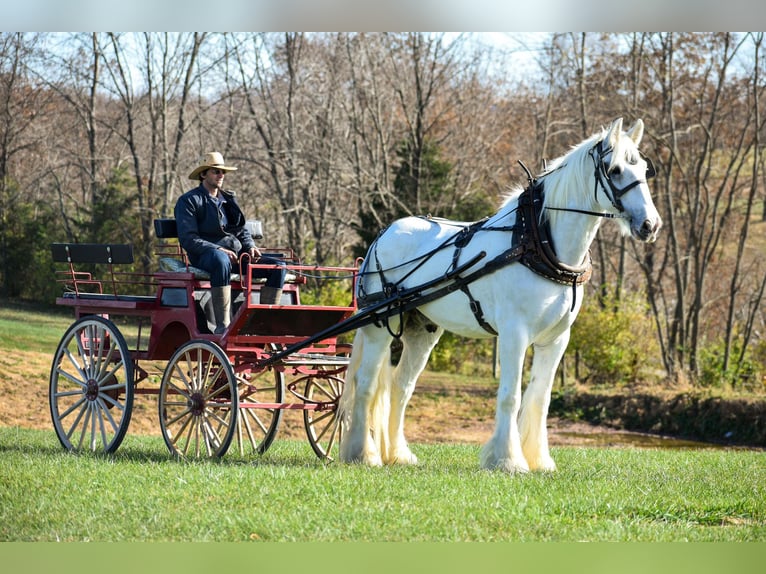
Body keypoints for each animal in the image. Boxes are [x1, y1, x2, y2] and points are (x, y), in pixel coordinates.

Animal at [340, 116, 664, 472]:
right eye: (616, 169)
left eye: (644, 168)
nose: (650, 225)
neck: (536, 241)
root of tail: (382, 235)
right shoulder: (514, 334)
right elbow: (511, 395)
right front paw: (508, 459)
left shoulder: (556, 339)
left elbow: (541, 399)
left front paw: (539, 459)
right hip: (379, 327)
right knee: (366, 384)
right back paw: (363, 454)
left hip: (422, 331)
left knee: (401, 387)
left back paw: (398, 454)